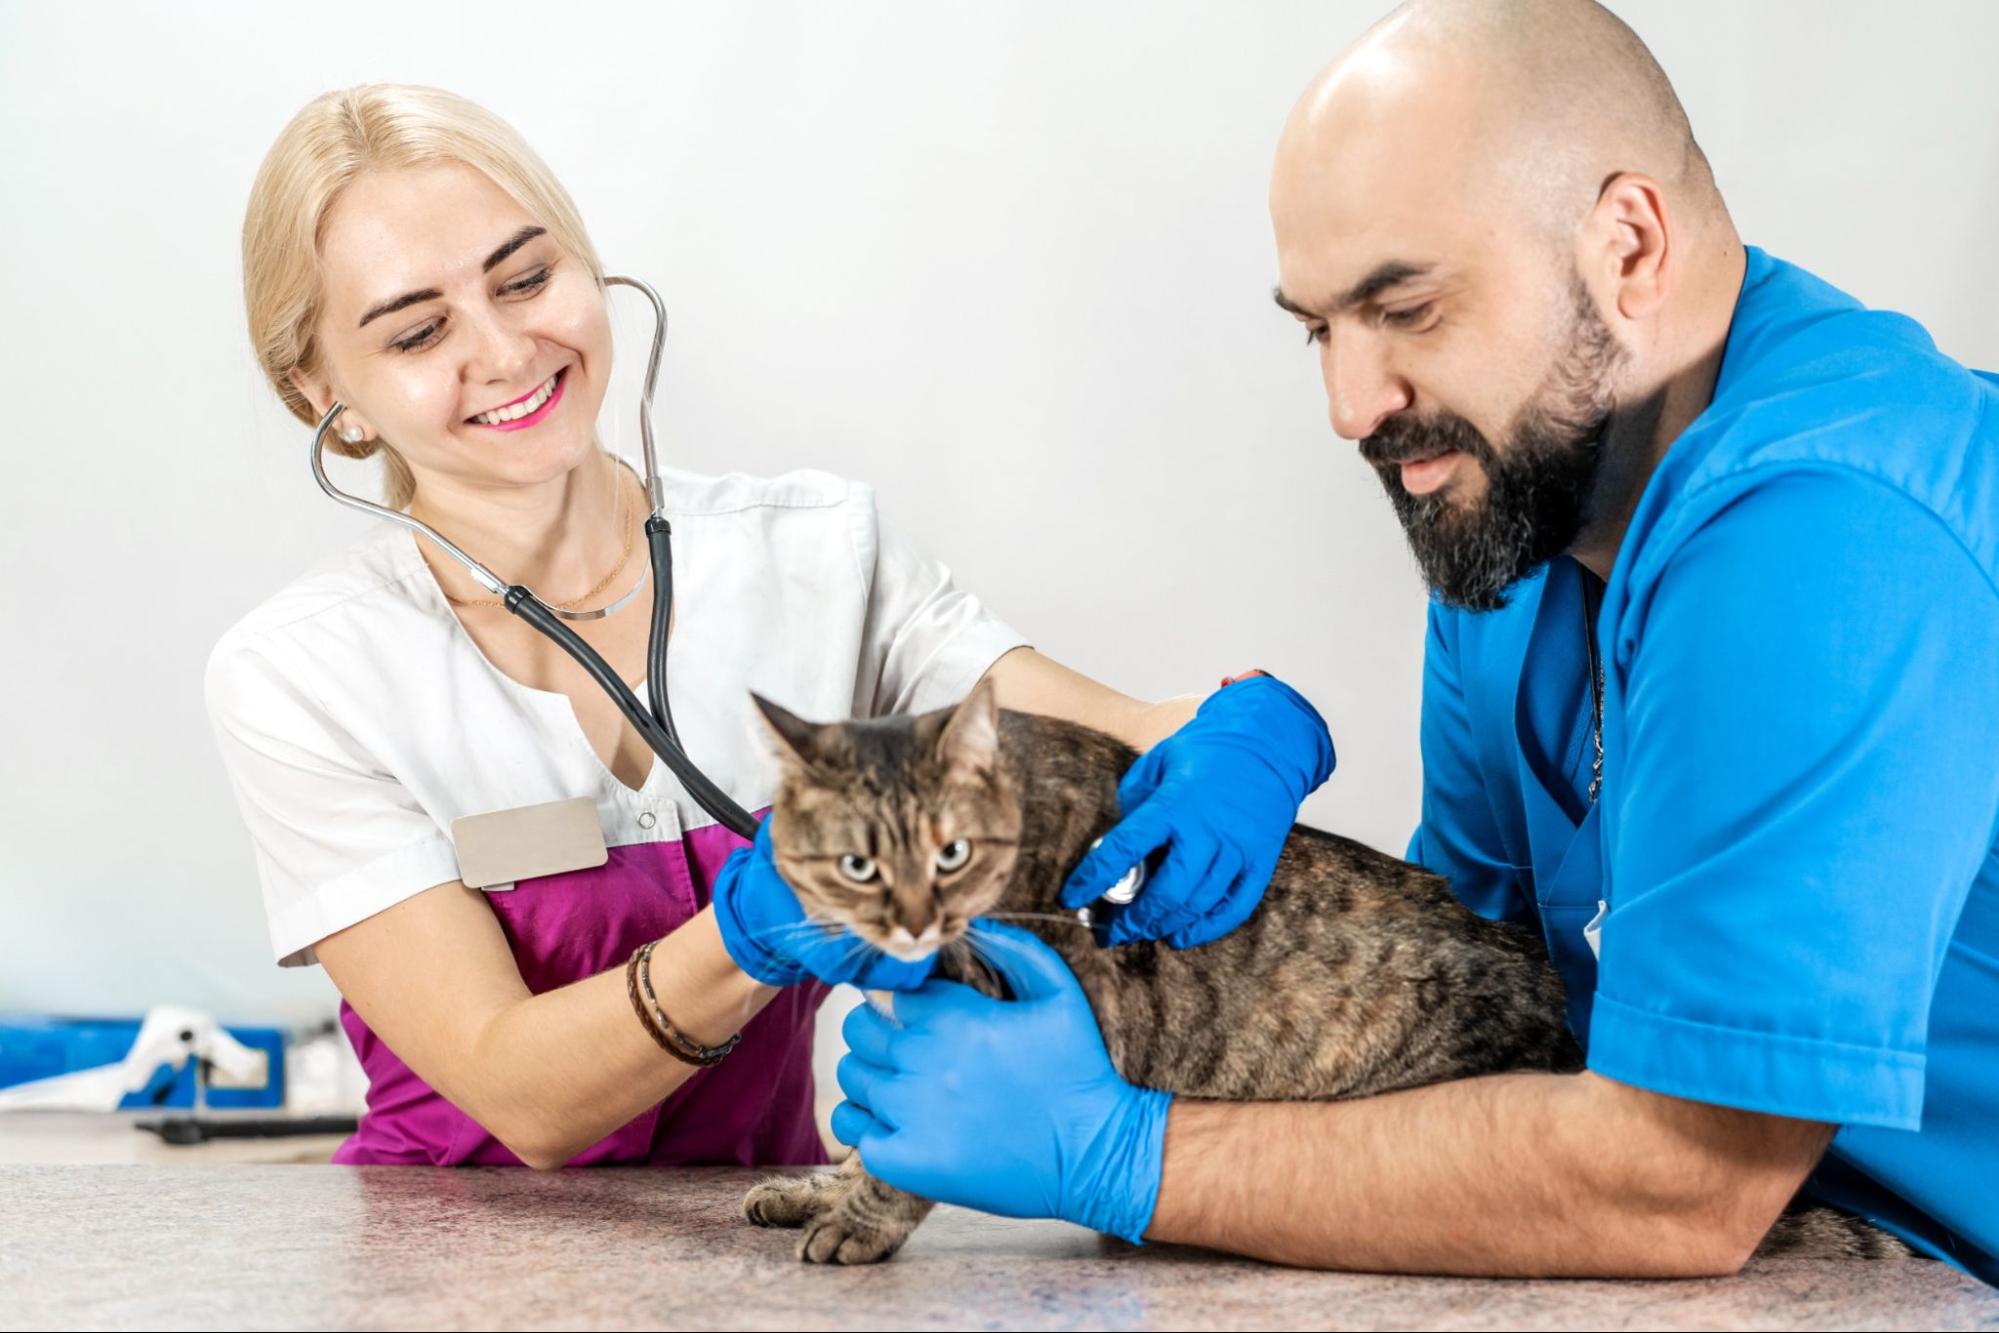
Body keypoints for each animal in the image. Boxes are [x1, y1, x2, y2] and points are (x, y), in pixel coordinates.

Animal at [739, 683, 1903, 1271]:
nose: (910, 919)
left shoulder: (995, 1021)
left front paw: (859, 1216)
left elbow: (914, 1153)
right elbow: (869, 1140)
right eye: (856, 862)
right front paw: (815, 1188)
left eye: (950, 854)